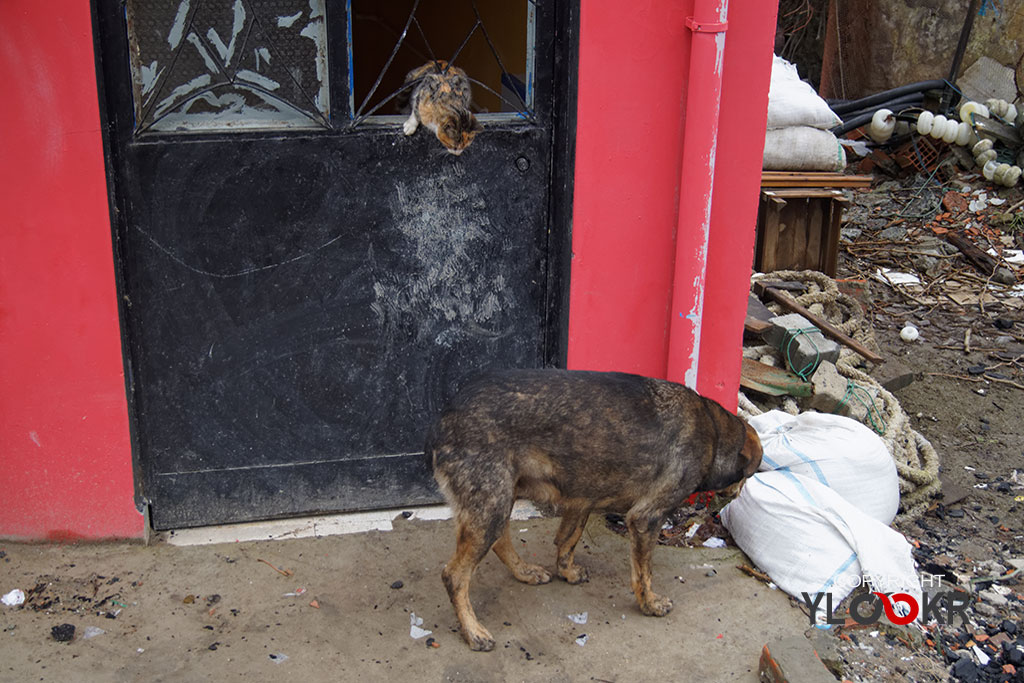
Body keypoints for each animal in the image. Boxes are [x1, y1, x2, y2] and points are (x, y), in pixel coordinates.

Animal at [421, 368, 761, 651]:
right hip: (490, 505)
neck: (713, 431)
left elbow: (567, 540)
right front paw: (649, 604)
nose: (734, 497)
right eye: (749, 474)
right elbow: (644, 573)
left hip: (499, 499)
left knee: (500, 540)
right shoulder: (645, 518)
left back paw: (524, 571)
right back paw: (472, 631)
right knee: (454, 575)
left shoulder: (582, 498)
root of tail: (443, 419)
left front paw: (567, 571)